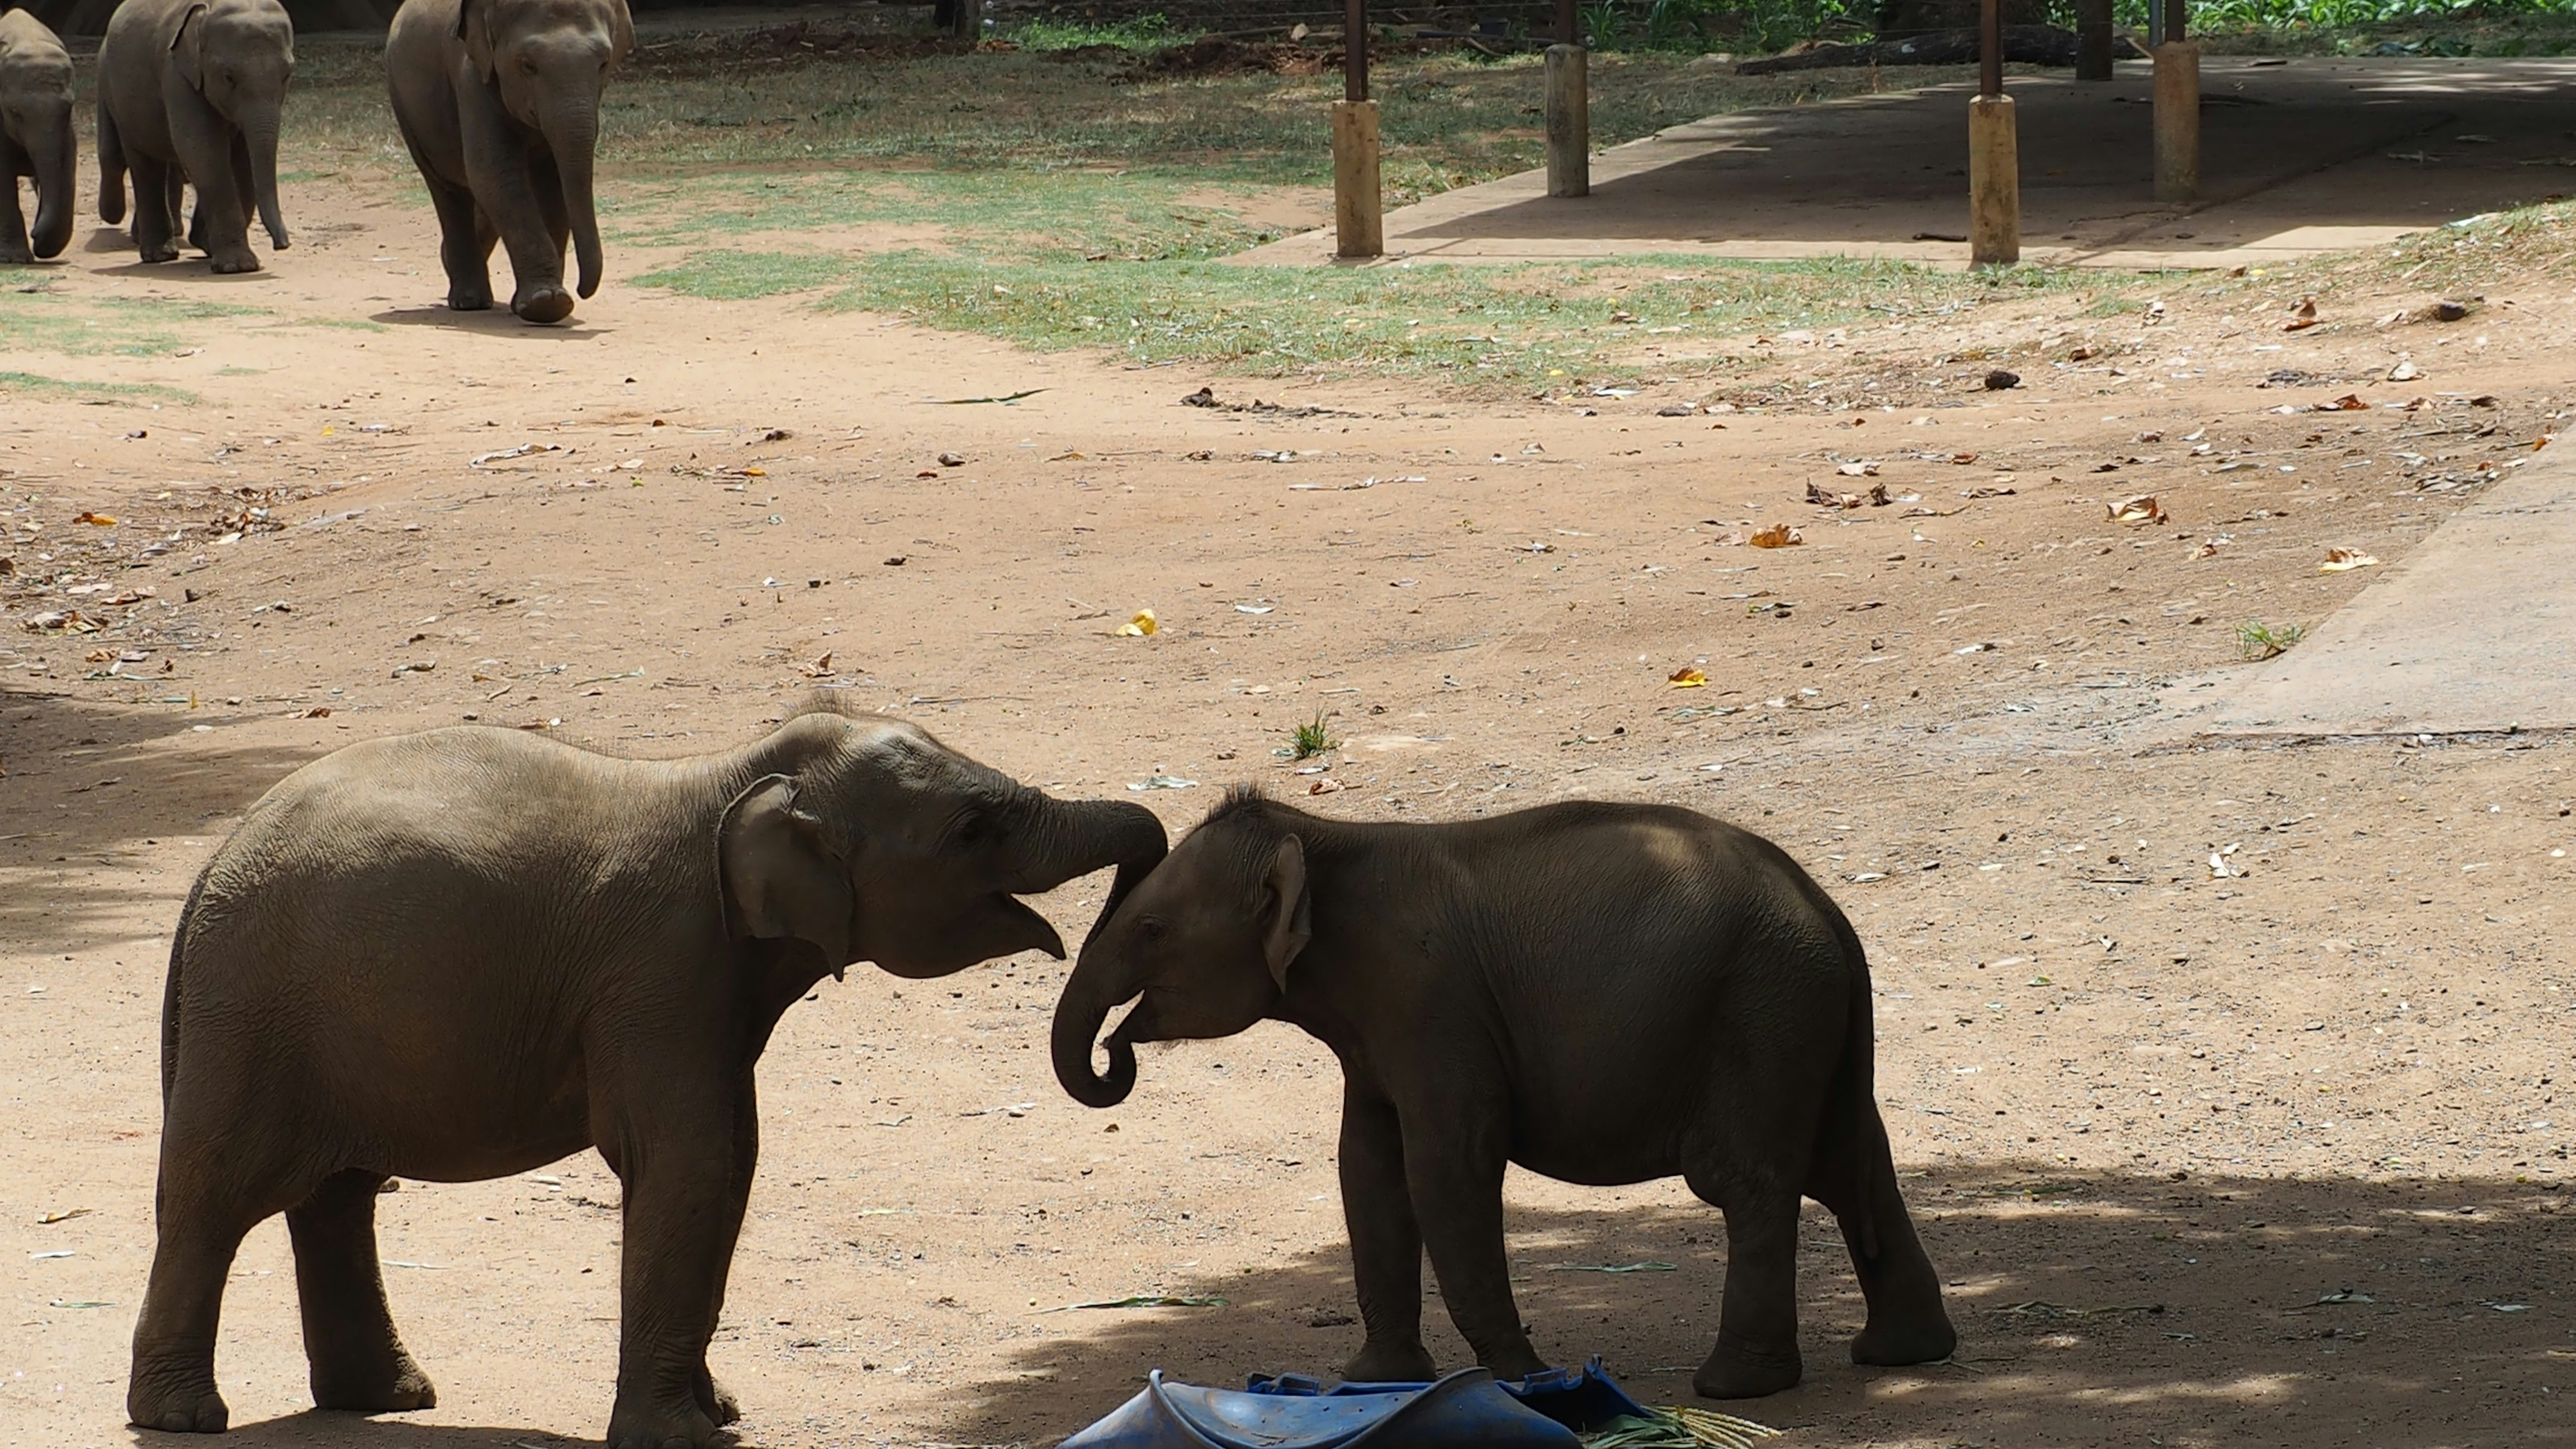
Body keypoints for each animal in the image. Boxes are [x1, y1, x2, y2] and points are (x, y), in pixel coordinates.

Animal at [0, 8, 73, 262]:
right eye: (15, 113)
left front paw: (46, 246)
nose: (34, 233)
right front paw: (16, 258)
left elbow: (65, 172)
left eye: (69, 108)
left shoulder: (66, 131)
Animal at [95, 0, 293, 273]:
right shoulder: (176, 76)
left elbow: (242, 159)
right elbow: (203, 150)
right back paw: (160, 255)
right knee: (142, 163)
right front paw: (237, 267)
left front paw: (215, 250)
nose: (282, 245)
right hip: (120, 100)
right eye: (229, 77)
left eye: (287, 75)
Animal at [128, 705, 1167, 1446]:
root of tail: (210, 866)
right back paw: (184, 1418)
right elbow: (694, 1160)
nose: (1116, 1054)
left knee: (335, 1198)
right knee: (216, 1195)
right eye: (973, 829)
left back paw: (388, 1400)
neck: (738, 772)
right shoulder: (662, 969)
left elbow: (724, 1166)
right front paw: (684, 1436)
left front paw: (721, 1413)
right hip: (251, 1018)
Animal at [385, 0, 630, 324]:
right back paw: (469, 301)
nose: (582, 290)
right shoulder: (472, 78)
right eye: (527, 65)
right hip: (408, 111)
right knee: (448, 191)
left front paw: (547, 304)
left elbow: (551, 185)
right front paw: (546, 304)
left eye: (604, 63)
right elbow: (494, 173)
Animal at [1053, 787, 1958, 1400]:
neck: (1319, 836)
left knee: (1753, 1182)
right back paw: (1903, 1356)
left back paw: (1732, 1388)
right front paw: (1376, 1380)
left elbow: (1449, 1166)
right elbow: (1367, 1169)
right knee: (1853, 1167)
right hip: (1804, 1023)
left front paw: (1527, 1378)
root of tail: (1831, 912)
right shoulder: (1379, 1036)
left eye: (1151, 931)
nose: (1115, 1051)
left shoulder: (1432, 1002)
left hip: (1762, 1013)